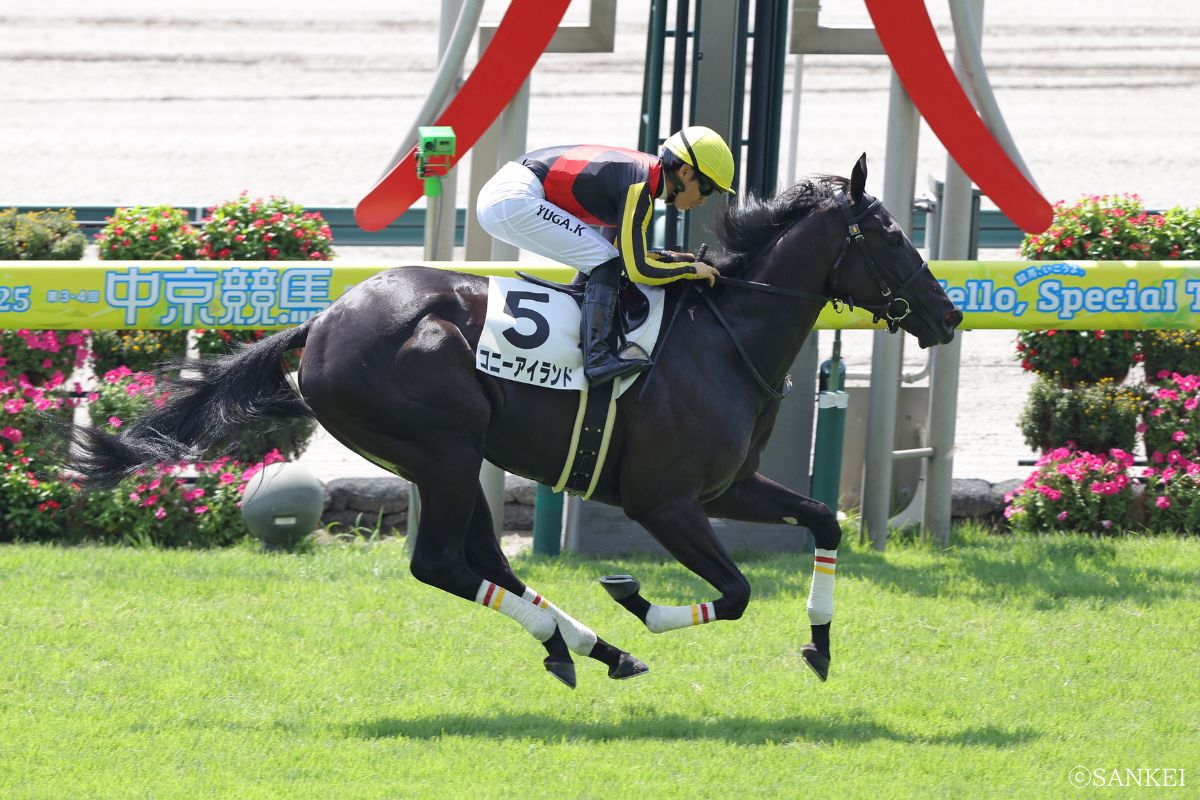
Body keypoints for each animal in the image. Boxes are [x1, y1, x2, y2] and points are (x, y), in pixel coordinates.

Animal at [70, 155, 963, 689]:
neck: (724, 336)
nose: (949, 314)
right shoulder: (664, 500)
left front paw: (819, 644)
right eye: (889, 235)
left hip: (445, 461)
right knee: (442, 564)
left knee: (487, 560)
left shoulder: (729, 487)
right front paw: (637, 597)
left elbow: (823, 520)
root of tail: (322, 322)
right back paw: (593, 642)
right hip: (441, 449)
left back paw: (587, 647)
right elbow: (738, 592)